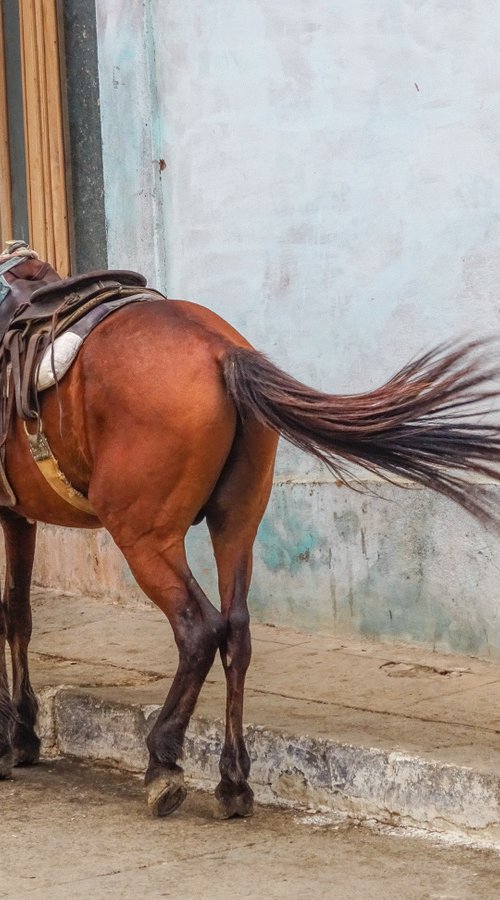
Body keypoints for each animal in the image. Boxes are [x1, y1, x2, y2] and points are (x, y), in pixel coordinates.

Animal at [0, 270, 500, 820]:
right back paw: (233, 780)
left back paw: (164, 763)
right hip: (237, 522)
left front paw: (6, 739)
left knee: (199, 630)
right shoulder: (16, 515)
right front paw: (22, 735)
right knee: (236, 631)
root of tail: (220, 351)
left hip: (143, 534)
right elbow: (18, 615)